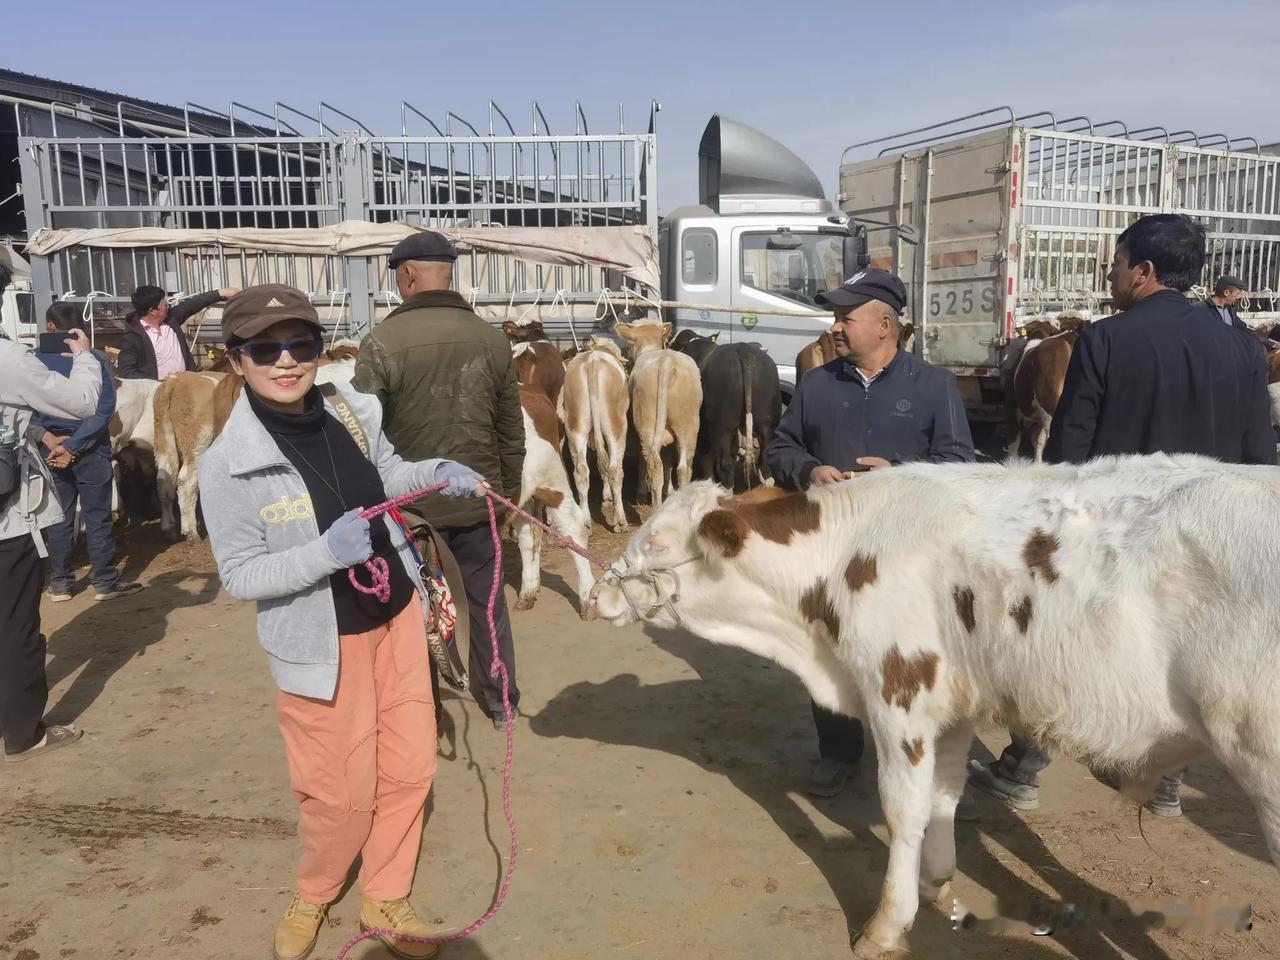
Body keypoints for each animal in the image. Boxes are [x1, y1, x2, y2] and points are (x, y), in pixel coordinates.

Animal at [586, 463, 1280, 957]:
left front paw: (886, 927)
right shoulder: (954, 704)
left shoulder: (899, 694)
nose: (597, 594)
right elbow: (943, 795)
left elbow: (903, 809)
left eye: (657, 543)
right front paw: (939, 885)